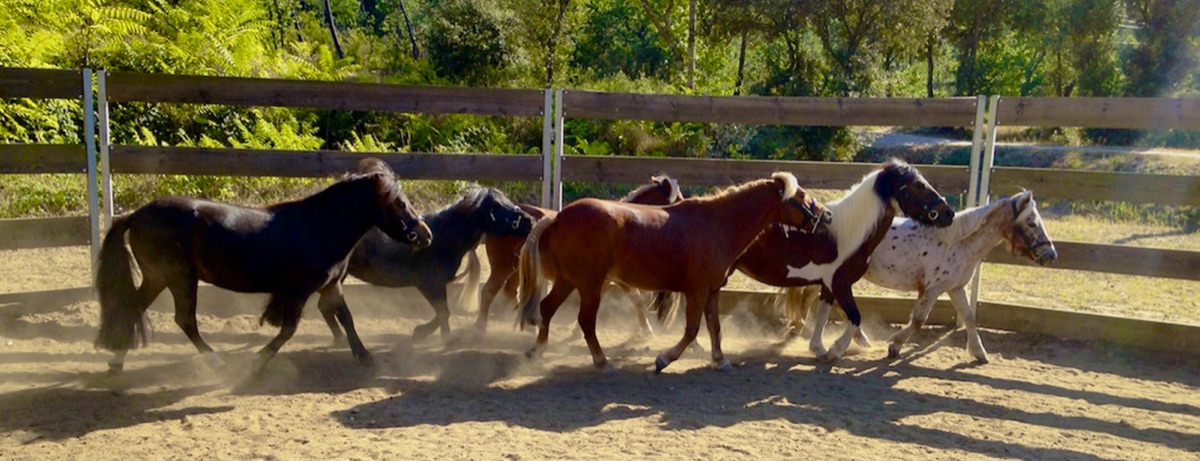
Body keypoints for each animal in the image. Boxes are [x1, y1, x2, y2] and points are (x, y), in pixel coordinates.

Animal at [94, 158, 433, 375]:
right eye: (399, 202)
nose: (426, 234)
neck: (320, 226)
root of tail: (136, 215)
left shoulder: (331, 286)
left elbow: (347, 319)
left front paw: (364, 356)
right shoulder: (299, 291)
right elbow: (289, 329)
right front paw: (257, 361)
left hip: (157, 277)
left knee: (133, 308)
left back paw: (117, 361)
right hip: (178, 277)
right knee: (184, 320)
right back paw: (217, 364)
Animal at [344, 186, 533, 340]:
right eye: (496, 205)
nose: (529, 220)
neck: (441, 237)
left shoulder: (438, 284)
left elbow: (443, 311)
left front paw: (424, 332)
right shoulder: (428, 284)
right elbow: (444, 311)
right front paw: (443, 337)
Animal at [472, 175, 684, 333]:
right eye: (677, 198)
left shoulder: (608, 278)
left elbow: (631, 299)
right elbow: (636, 298)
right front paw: (647, 330)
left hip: (517, 270)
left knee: (510, 292)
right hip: (502, 268)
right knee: (488, 292)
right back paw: (480, 328)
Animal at [516, 172, 832, 373]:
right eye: (802, 195)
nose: (826, 215)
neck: (717, 223)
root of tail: (558, 217)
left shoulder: (711, 291)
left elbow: (714, 327)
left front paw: (720, 360)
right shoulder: (697, 291)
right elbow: (691, 330)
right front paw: (664, 359)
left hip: (569, 281)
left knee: (547, 308)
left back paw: (536, 352)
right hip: (590, 285)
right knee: (585, 322)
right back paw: (602, 363)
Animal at [718, 159, 956, 362]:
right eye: (919, 185)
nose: (949, 213)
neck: (848, 234)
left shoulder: (829, 285)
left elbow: (824, 315)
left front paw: (819, 349)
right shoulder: (840, 284)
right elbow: (854, 316)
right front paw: (836, 350)